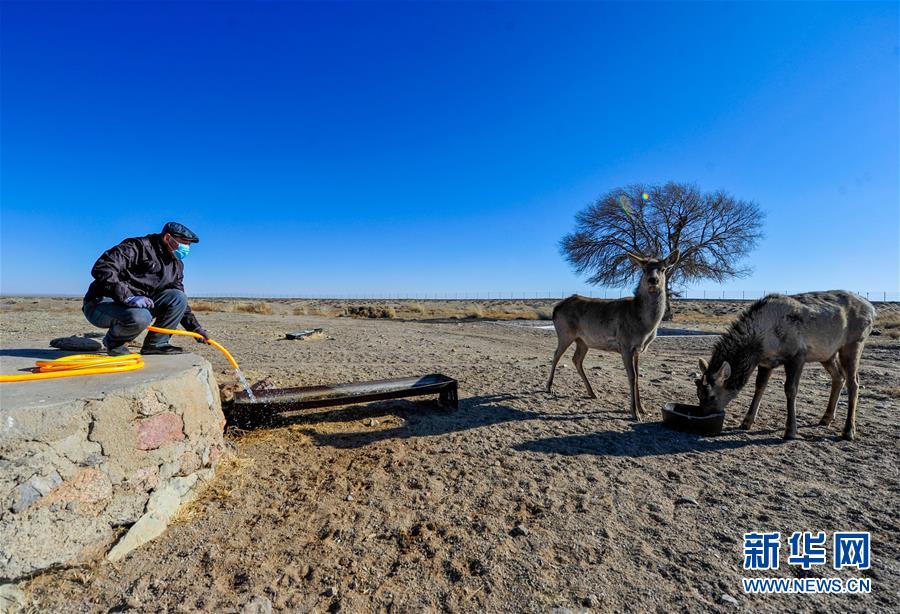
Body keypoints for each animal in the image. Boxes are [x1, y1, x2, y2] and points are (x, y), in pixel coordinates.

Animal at [544, 253, 680, 422]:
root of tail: (555, 308)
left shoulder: (638, 349)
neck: (645, 327)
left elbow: (638, 376)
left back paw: (592, 392)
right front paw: (634, 413)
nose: (653, 280)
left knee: (576, 359)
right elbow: (632, 376)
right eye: (643, 269)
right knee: (556, 355)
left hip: (583, 341)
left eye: (663, 269)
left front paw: (643, 408)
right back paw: (549, 387)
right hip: (565, 333)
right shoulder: (625, 344)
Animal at [692, 292, 876, 440]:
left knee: (854, 382)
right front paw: (746, 421)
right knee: (839, 377)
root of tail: (872, 309)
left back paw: (848, 431)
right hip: (827, 353)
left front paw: (790, 431)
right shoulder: (766, 362)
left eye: (712, 396)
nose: (702, 415)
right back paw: (826, 418)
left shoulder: (797, 355)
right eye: (698, 393)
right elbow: (759, 387)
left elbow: (790, 390)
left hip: (854, 343)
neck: (760, 345)